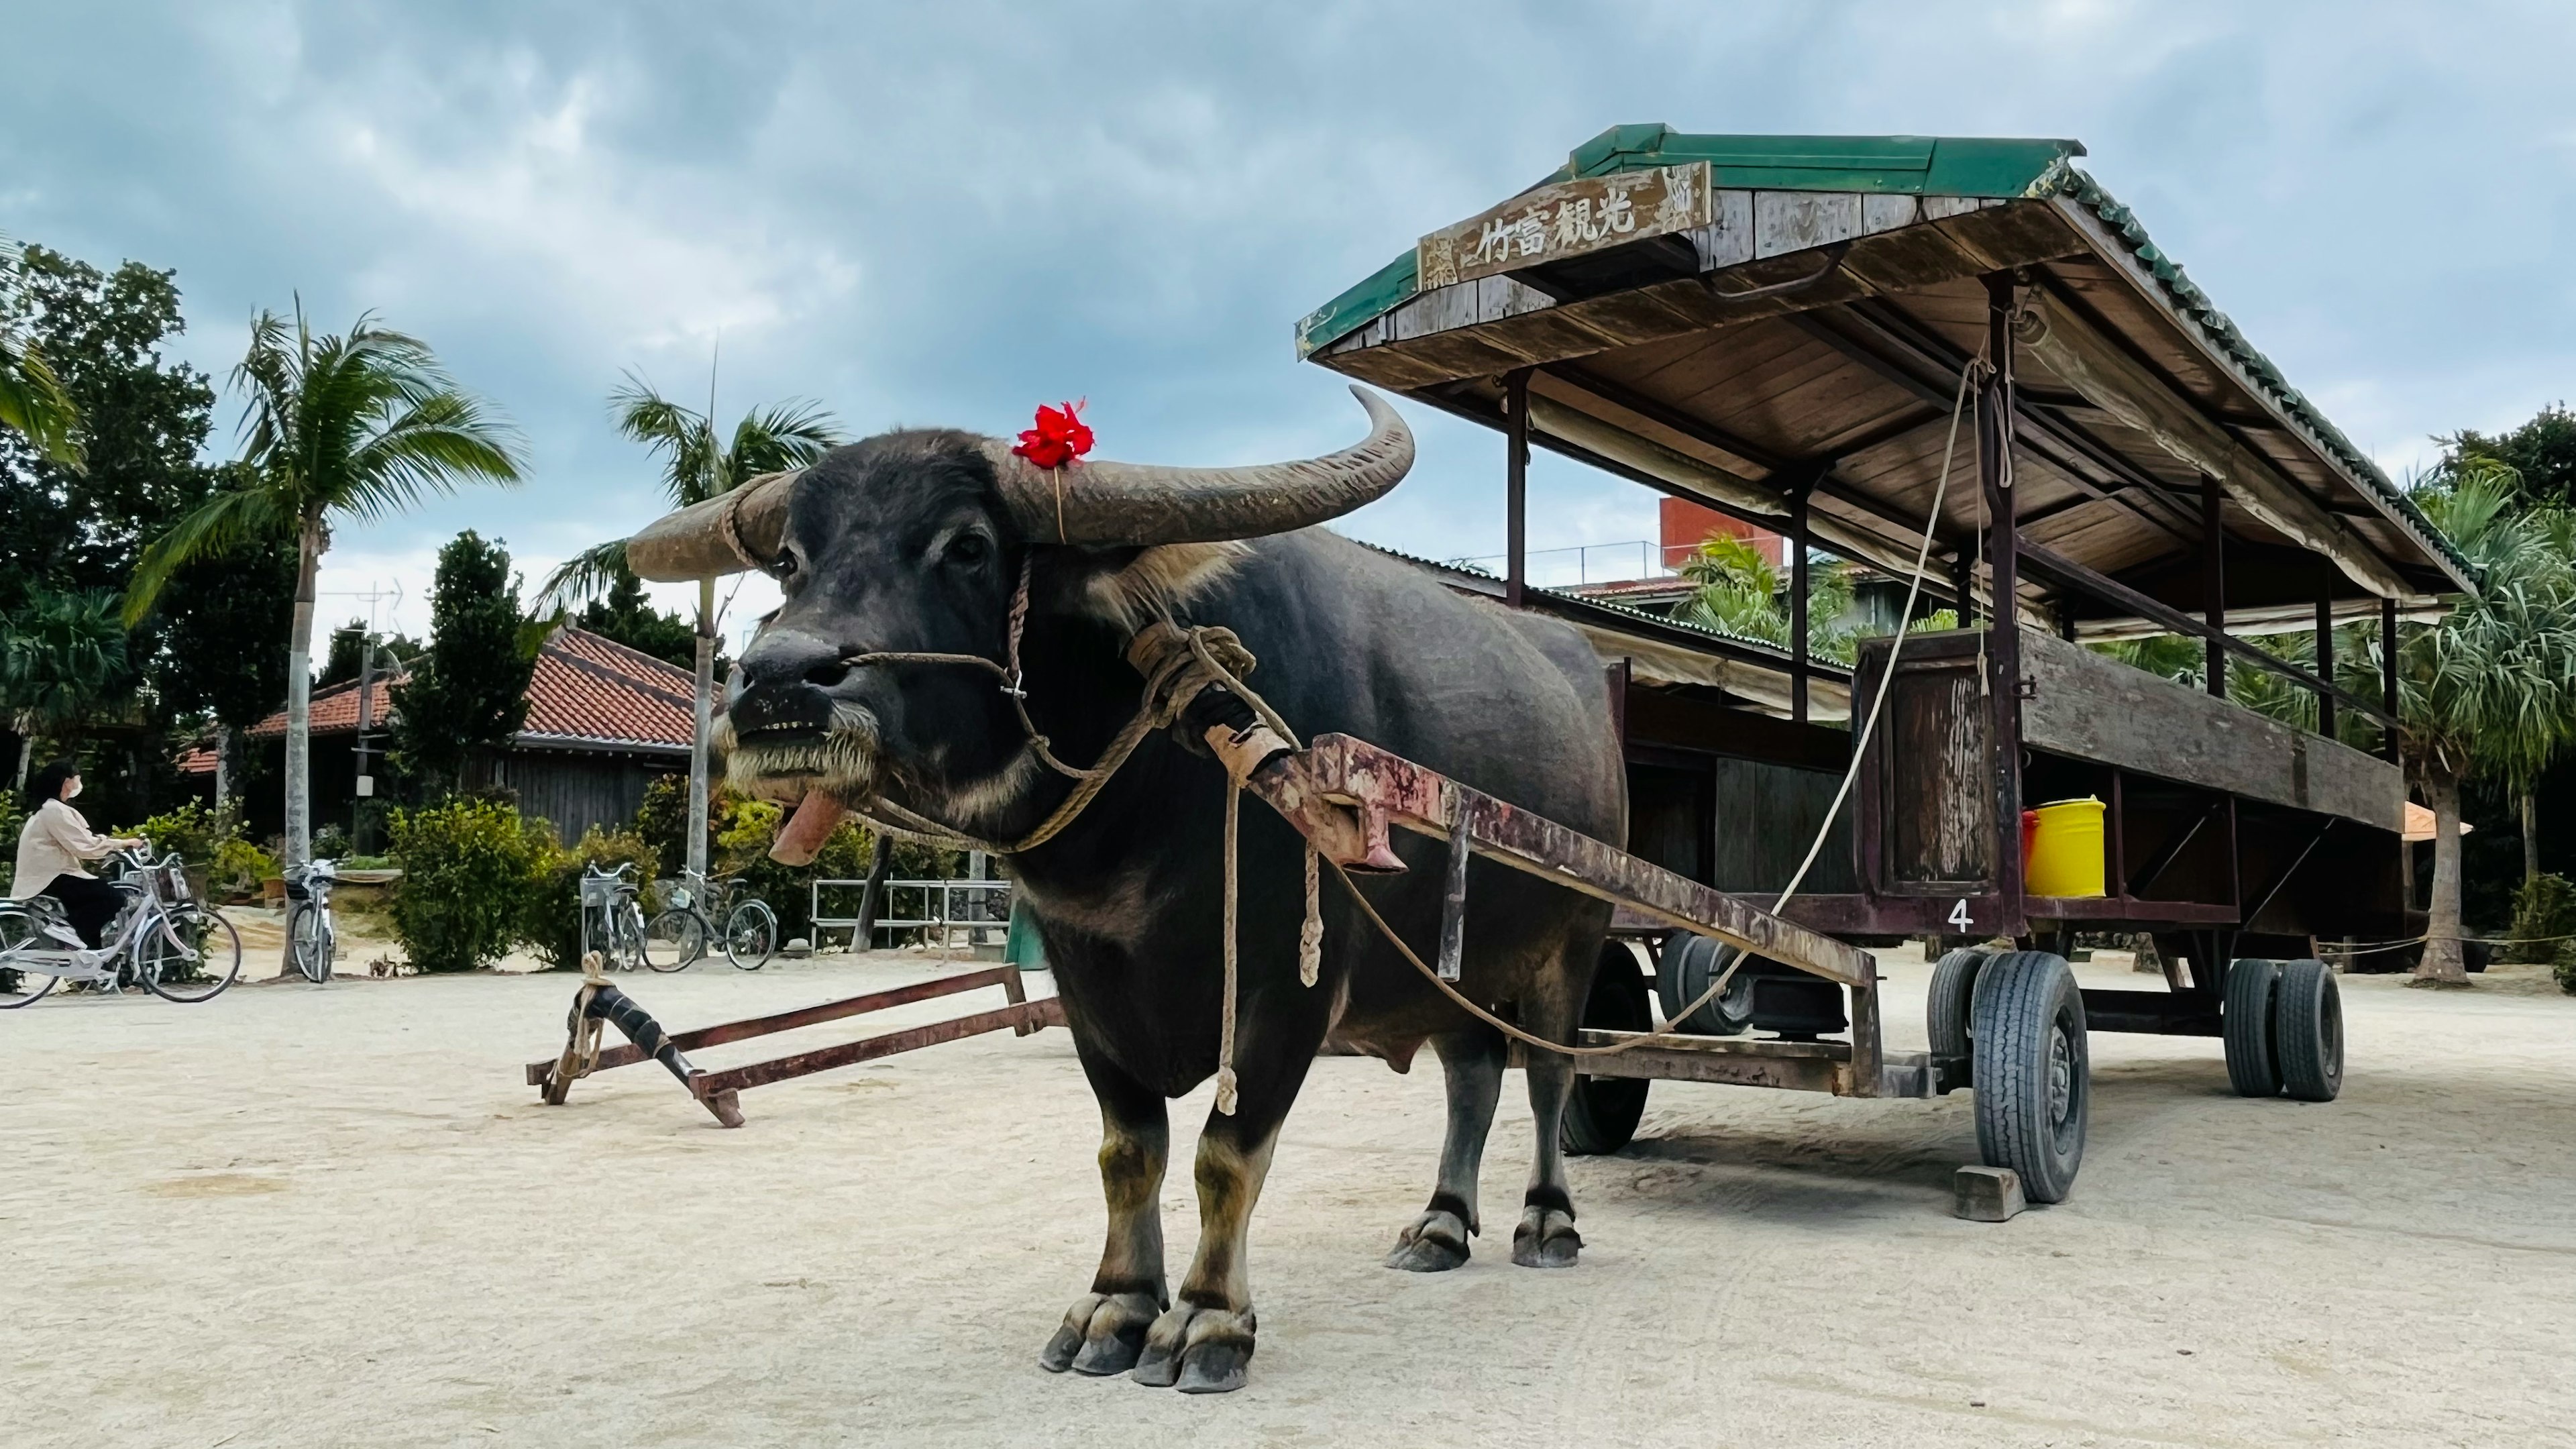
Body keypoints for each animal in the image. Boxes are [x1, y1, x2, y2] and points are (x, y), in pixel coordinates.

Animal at [626, 386, 1617, 1392]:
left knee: (1550, 1075)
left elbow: (1226, 1157)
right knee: (1473, 1074)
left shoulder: (1291, 990)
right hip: (1452, 969)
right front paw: (1116, 1306)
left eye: (967, 545)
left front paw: (1210, 1321)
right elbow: (1128, 1153)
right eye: (791, 559)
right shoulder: (1085, 988)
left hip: (1577, 943)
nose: (778, 683)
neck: (1139, 809)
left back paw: (1547, 1220)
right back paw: (1444, 1224)